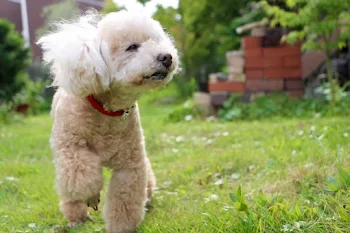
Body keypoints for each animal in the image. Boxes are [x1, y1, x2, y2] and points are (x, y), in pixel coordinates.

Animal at [38, 10, 179, 233]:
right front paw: (91, 195)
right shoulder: (71, 148)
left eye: (155, 41)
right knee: (68, 189)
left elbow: (124, 198)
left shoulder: (129, 164)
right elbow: (82, 177)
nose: (167, 57)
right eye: (132, 47)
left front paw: (122, 226)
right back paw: (76, 216)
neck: (108, 111)